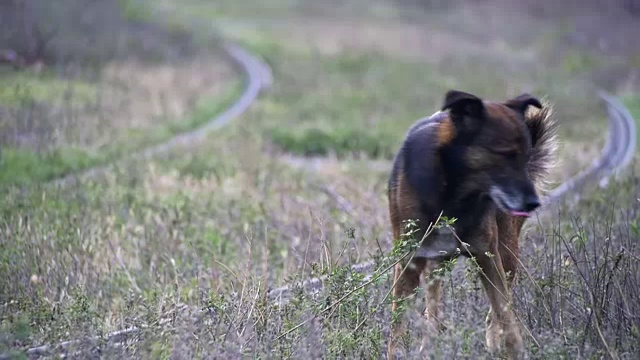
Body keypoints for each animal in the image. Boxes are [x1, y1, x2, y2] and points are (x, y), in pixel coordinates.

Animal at [384, 89, 556, 358]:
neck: (454, 191)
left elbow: (506, 319)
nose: (533, 203)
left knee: (494, 313)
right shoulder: (409, 262)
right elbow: (398, 331)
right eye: (505, 154)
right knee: (433, 307)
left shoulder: (487, 255)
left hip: (506, 253)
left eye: (525, 157)